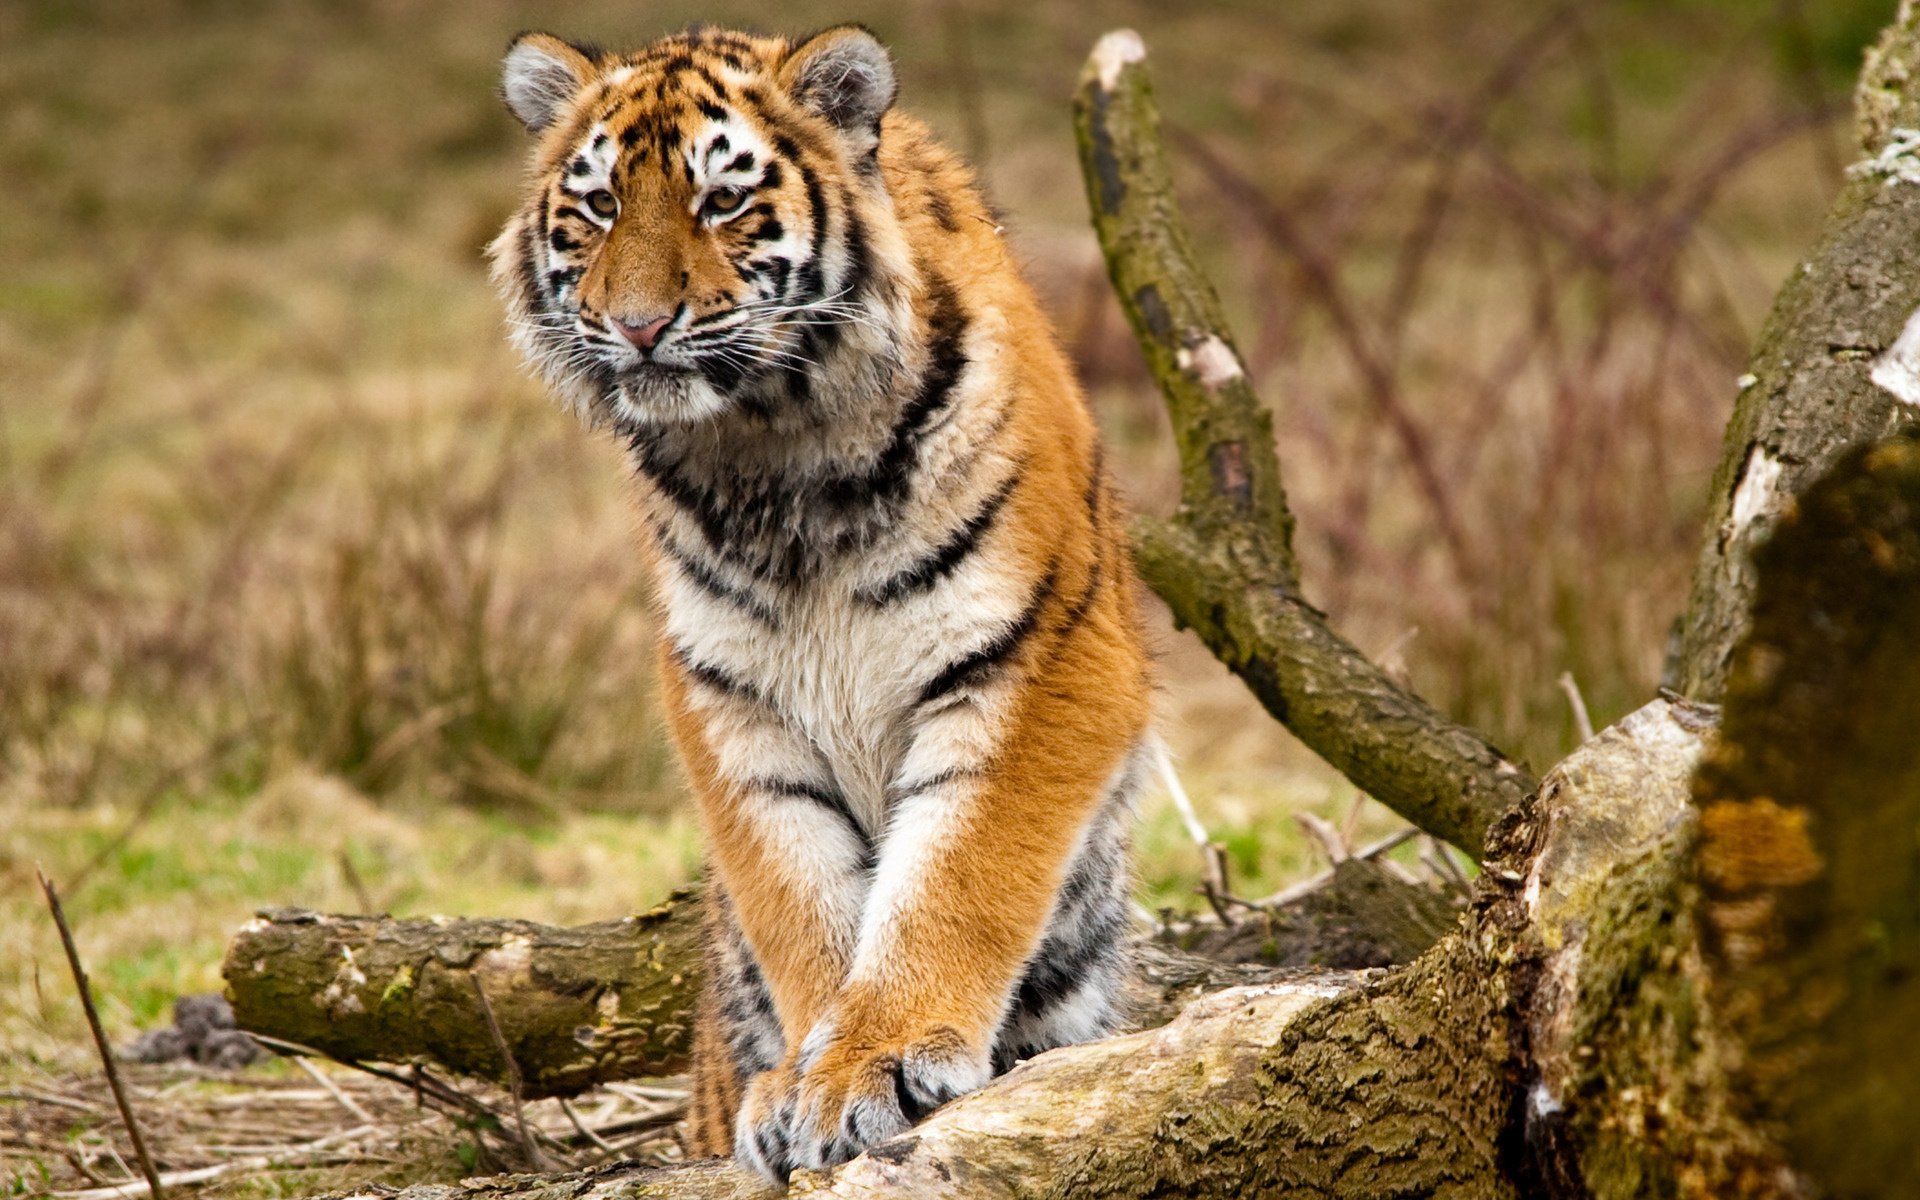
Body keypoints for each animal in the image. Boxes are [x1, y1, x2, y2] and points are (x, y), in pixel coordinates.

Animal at [495, 21, 1152, 1182]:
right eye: (602, 205)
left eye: (720, 201)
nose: (638, 326)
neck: (773, 451)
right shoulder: (728, 697)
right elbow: (800, 897)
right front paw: (807, 1078)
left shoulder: (1038, 655)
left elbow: (955, 875)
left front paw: (873, 1065)